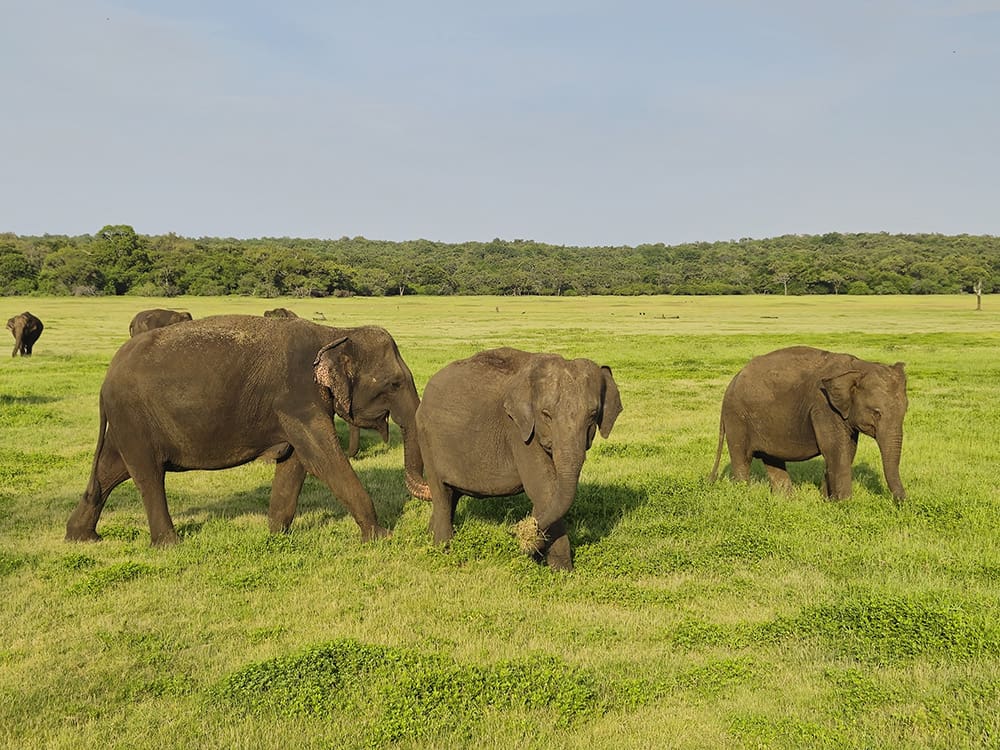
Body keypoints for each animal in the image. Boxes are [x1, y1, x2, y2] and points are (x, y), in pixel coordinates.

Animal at [66, 315, 431, 546]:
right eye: (395, 383)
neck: (333, 333)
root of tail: (106, 380)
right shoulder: (297, 398)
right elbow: (322, 459)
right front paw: (381, 537)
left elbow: (295, 464)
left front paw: (277, 536)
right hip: (134, 418)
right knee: (147, 475)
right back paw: (170, 544)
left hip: (127, 422)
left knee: (111, 470)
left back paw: (81, 537)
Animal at [416, 348, 622, 570]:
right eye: (546, 414)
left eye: (593, 415)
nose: (514, 532)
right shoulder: (519, 432)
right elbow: (544, 489)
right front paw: (562, 570)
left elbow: (548, 492)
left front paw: (539, 557)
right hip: (427, 439)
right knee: (442, 493)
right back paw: (443, 549)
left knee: (451, 495)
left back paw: (430, 536)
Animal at [709, 345, 908, 502]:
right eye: (876, 412)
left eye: (905, 410)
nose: (901, 503)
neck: (857, 366)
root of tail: (731, 382)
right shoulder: (823, 408)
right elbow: (837, 450)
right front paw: (845, 504)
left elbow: (847, 450)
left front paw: (828, 501)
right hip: (737, 417)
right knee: (742, 459)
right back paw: (744, 495)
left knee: (772, 459)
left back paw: (786, 500)